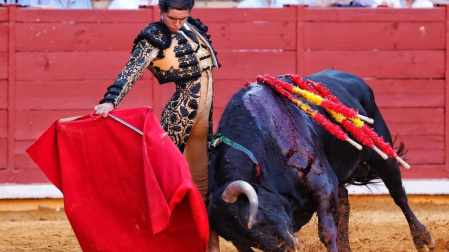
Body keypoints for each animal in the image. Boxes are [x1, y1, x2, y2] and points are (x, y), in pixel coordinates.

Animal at [207, 69, 434, 252]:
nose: (290, 246)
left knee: (399, 195)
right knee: (344, 203)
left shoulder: (323, 185)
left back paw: (423, 240)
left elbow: (326, 232)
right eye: (244, 240)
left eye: (256, 218)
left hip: (382, 154)